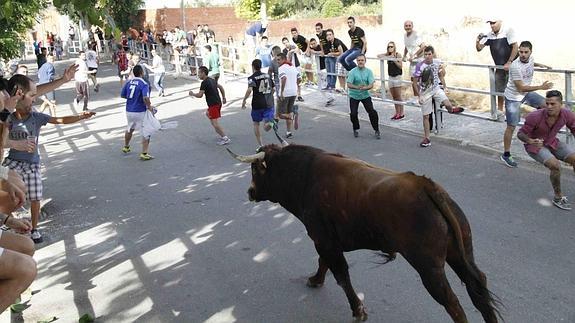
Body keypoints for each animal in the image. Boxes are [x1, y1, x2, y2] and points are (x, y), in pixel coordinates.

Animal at [227, 146, 502, 322]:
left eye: (255, 169)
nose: (250, 192)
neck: (305, 175)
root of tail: (425, 185)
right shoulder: (327, 241)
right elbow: (325, 265)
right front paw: (316, 279)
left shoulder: (323, 239)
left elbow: (341, 275)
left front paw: (357, 310)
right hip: (460, 253)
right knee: (478, 287)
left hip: (429, 268)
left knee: (453, 303)